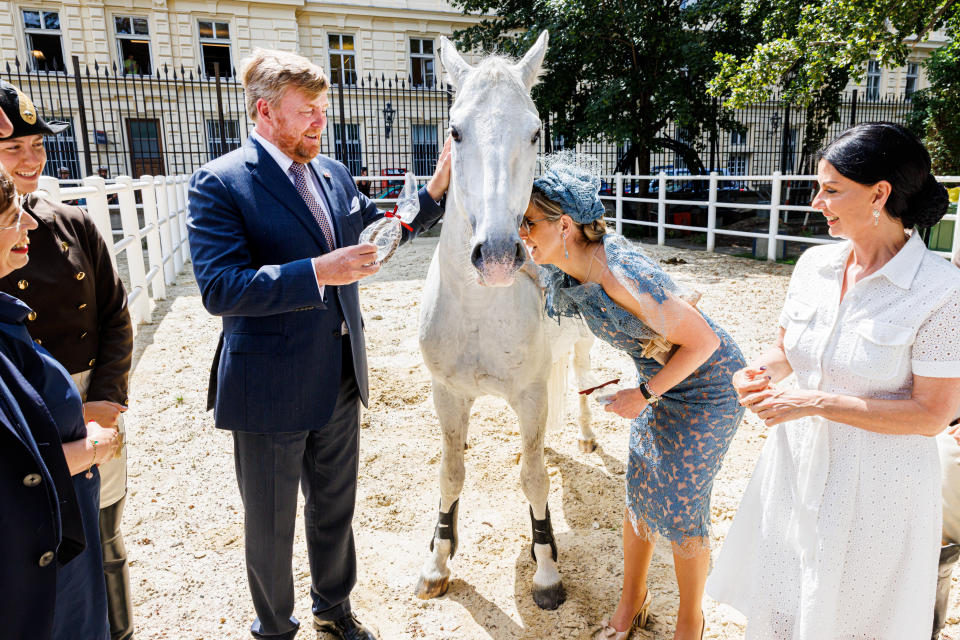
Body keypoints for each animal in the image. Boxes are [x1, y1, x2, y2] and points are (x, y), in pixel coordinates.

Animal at [416, 31, 596, 608]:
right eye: (455, 131)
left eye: (535, 130)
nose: (496, 255)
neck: (478, 312)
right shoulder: (448, 395)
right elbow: (451, 474)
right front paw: (438, 559)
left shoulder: (530, 395)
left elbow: (534, 479)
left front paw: (547, 571)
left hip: (582, 346)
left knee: (581, 382)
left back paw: (586, 436)